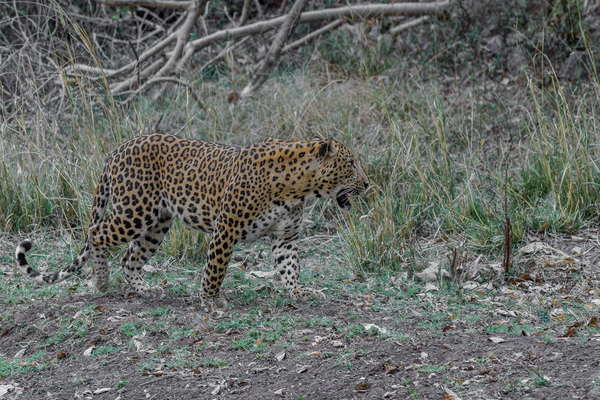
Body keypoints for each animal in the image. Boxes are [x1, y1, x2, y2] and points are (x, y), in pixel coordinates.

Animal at [14, 133, 368, 304]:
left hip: (157, 222)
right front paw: (210, 300)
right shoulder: (226, 227)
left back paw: (145, 289)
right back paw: (100, 281)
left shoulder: (285, 236)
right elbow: (216, 268)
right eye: (351, 164)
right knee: (97, 232)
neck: (301, 188)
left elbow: (290, 266)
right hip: (134, 211)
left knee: (129, 258)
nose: (367, 184)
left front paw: (299, 292)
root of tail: (120, 147)